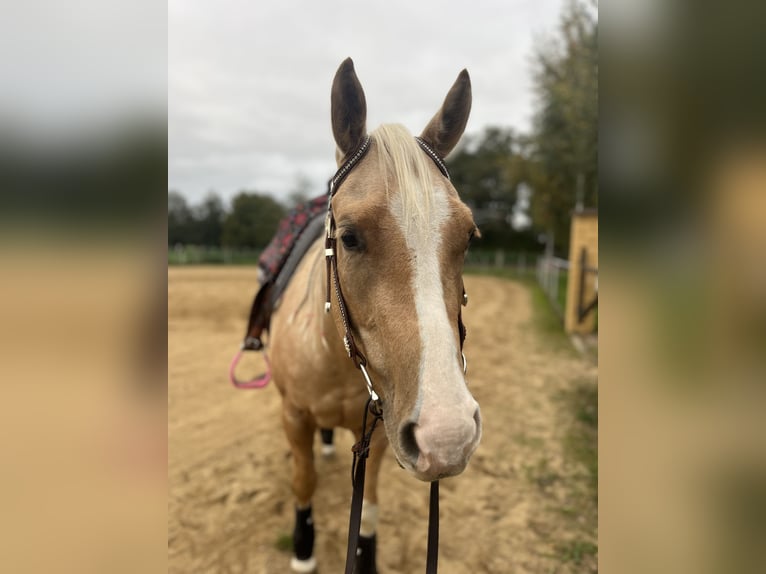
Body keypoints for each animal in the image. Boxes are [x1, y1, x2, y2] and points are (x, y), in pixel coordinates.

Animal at [268, 58, 482, 573]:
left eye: (469, 236)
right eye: (348, 237)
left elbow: (367, 510)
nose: (448, 435)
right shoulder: (294, 416)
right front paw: (303, 550)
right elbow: (303, 483)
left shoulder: (387, 429)